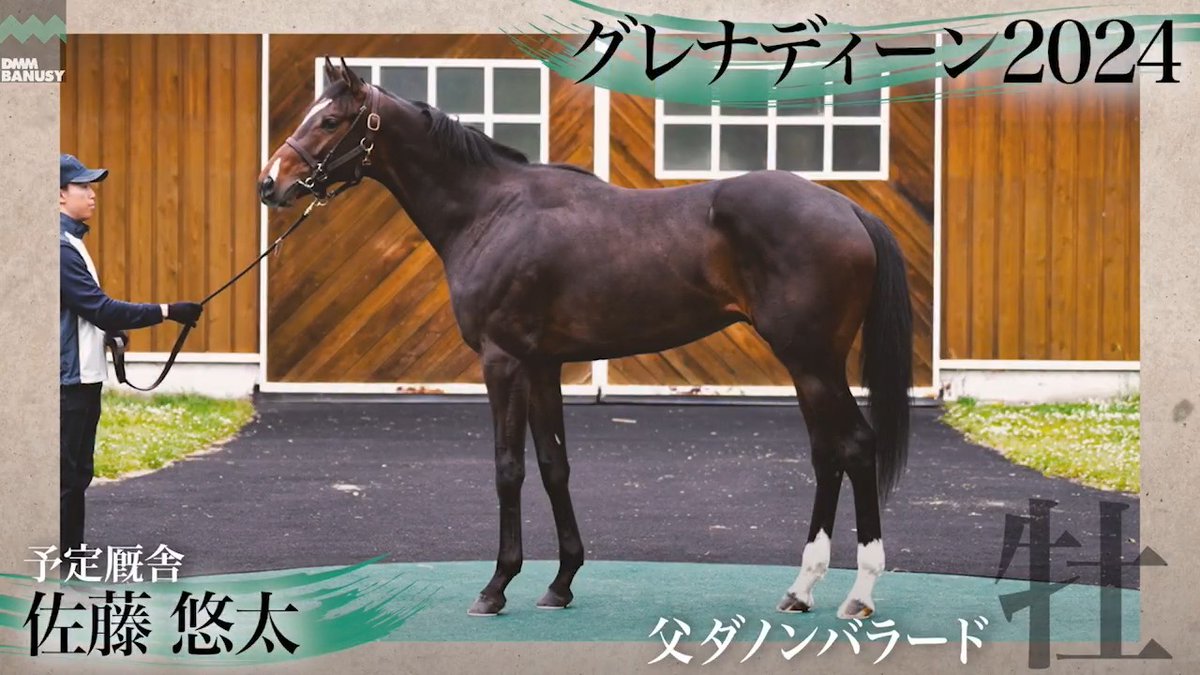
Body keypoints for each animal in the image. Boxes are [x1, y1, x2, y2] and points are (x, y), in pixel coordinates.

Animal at [258, 58, 913, 620]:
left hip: (812, 360)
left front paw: (496, 587)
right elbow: (554, 466)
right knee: (827, 455)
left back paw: (858, 594)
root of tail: (847, 208)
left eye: (330, 121)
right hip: (807, 366)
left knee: (856, 447)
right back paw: (801, 590)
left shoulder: (503, 362)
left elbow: (508, 468)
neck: (490, 212)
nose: (270, 184)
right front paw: (561, 582)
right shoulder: (542, 365)